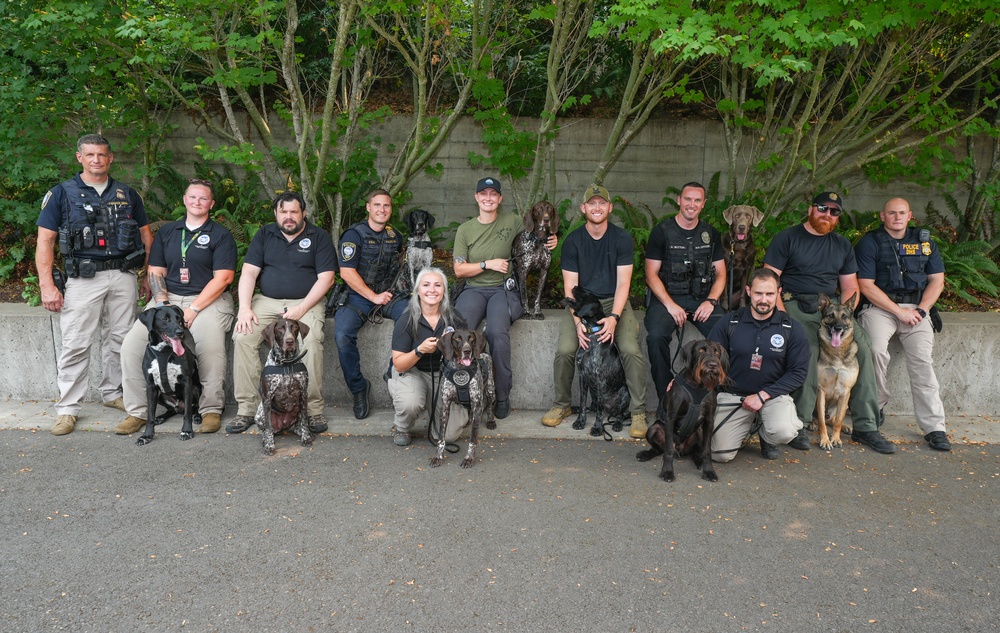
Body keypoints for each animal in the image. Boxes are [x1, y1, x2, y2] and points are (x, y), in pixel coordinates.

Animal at [136, 304, 202, 444]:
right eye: (165, 319)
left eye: (179, 319)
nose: (181, 333)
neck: (163, 352)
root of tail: (179, 406)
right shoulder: (150, 386)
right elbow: (150, 414)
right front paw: (146, 435)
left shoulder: (187, 382)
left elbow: (188, 412)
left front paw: (187, 431)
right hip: (160, 395)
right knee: (171, 410)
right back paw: (161, 417)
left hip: (196, 388)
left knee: (196, 406)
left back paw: (198, 416)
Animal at [252, 318, 310, 452]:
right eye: (280, 329)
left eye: (294, 327)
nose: (289, 341)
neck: (286, 363)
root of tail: (283, 425)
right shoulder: (267, 397)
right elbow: (268, 427)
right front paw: (269, 444)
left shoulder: (304, 393)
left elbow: (304, 421)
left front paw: (306, 437)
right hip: (259, 415)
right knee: (266, 429)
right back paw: (266, 439)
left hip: (301, 406)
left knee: (298, 425)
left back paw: (300, 431)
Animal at [430, 328, 496, 466]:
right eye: (457, 339)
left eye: (472, 339)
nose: (467, 351)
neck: (460, 370)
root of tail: (483, 351)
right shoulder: (445, 407)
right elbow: (441, 438)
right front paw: (438, 456)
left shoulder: (477, 404)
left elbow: (473, 439)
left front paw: (469, 458)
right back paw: (468, 421)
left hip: (490, 389)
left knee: (489, 406)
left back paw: (491, 421)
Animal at [640, 338, 728, 482]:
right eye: (701, 350)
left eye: (716, 352)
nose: (713, 365)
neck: (698, 385)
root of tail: (681, 449)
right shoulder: (671, 417)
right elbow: (668, 450)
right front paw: (667, 472)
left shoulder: (709, 420)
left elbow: (707, 451)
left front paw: (709, 471)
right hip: (653, 429)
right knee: (659, 449)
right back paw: (645, 454)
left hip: (699, 432)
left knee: (695, 452)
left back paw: (699, 462)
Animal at [812, 294, 860, 452]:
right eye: (831, 315)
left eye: (844, 316)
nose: (838, 328)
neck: (837, 352)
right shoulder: (820, 390)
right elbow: (821, 422)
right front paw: (825, 440)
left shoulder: (845, 392)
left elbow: (838, 420)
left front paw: (836, 438)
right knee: (820, 419)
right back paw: (812, 424)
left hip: (843, 404)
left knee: (832, 420)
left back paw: (846, 427)